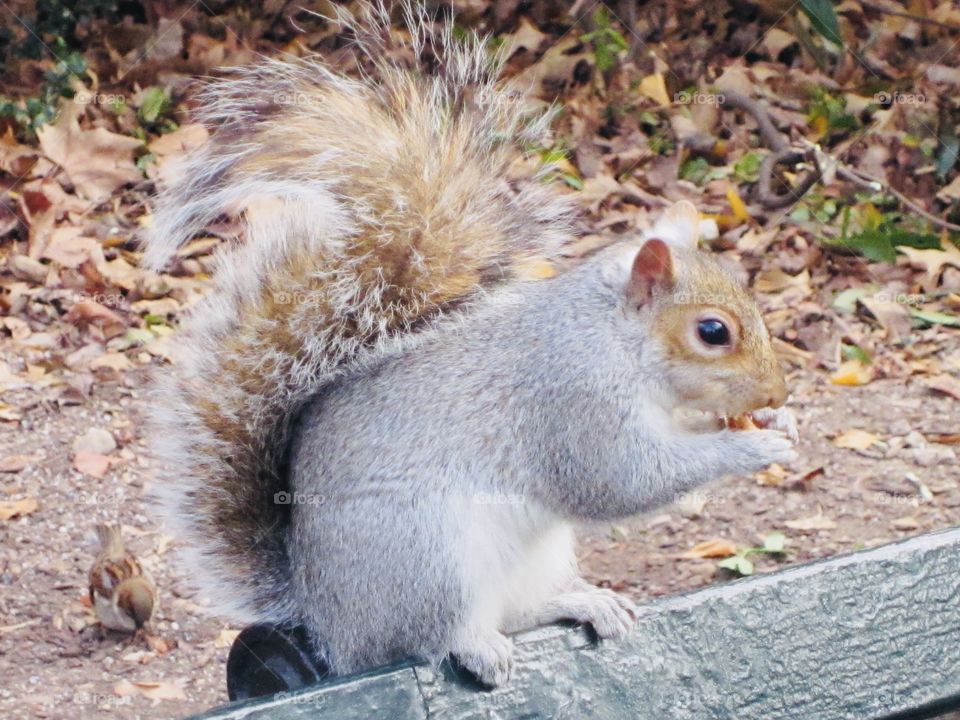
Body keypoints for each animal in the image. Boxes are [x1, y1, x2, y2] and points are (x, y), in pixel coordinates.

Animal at [144, 3, 797, 689]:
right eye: (712, 332)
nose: (776, 390)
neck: (615, 342)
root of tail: (330, 629)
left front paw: (779, 421)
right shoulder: (571, 401)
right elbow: (622, 481)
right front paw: (751, 446)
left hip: (530, 556)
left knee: (521, 609)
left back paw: (582, 601)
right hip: (427, 555)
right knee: (427, 637)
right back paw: (475, 646)